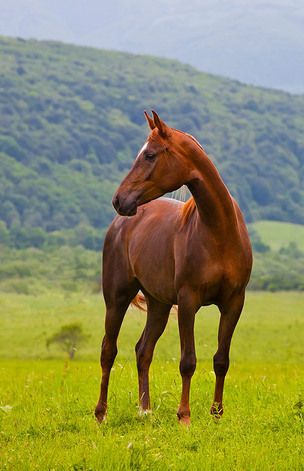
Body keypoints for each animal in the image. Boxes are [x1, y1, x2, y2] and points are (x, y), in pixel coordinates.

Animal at [95, 110, 252, 428]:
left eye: (150, 155)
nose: (119, 200)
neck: (219, 232)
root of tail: (119, 224)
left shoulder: (234, 303)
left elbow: (221, 359)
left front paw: (217, 414)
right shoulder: (189, 302)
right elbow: (188, 361)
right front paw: (185, 416)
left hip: (159, 304)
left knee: (143, 350)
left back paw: (145, 410)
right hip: (116, 299)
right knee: (108, 351)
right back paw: (101, 413)